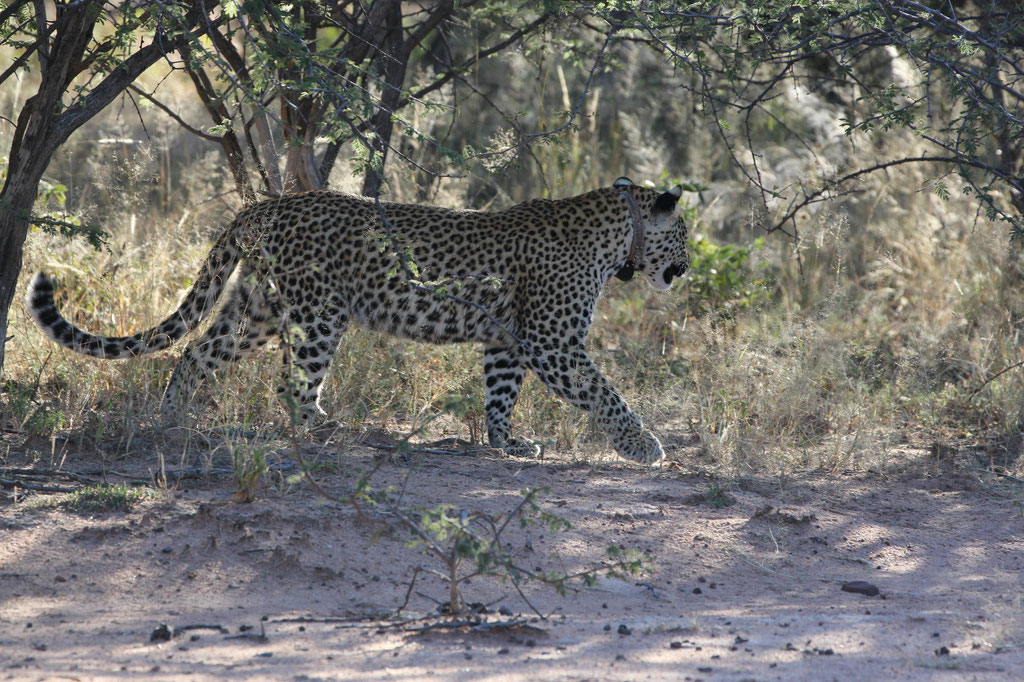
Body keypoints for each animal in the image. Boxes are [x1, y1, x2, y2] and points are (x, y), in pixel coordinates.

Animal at [26, 177, 689, 464]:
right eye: (683, 234)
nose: (684, 270)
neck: (617, 235)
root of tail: (264, 205)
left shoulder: (508, 340)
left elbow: (501, 395)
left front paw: (507, 443)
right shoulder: (552, 341)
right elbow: (604, 392)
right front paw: (643, 445)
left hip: (258, 307)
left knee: (196, 353)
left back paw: (173, 421)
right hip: (319, 313)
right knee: (292, 384)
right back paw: (326, 431)